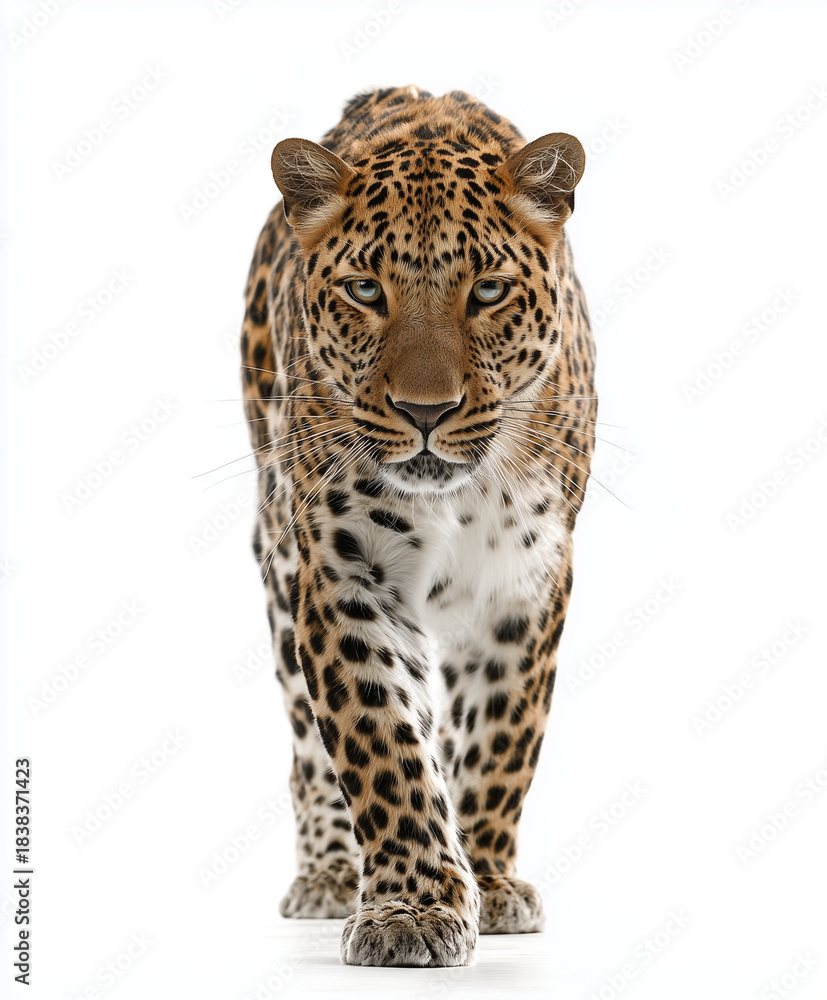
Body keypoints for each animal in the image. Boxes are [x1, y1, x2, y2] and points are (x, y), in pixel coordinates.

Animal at [240, 85, 596, 967]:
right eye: (365, 291)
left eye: (489, 291)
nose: (425, 412)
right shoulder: (341, 572)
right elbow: (382, 743)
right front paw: (409, 907)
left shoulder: (525, 583)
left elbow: (501, 738)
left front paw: (489, 880)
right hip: (276, 560)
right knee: (309, 747)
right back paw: (331, 874)